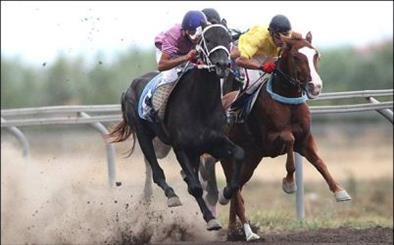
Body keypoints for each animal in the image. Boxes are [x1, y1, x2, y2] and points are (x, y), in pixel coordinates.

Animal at [109, 23, 245, 231]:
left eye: (228, 39)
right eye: (208, 39)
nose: (223, 65)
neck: (201, 104)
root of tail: (130, 87)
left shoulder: (213, 142)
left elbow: (239, 153)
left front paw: (226, 193)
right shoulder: (181, 148)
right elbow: (195, 187)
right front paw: (210, 218)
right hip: (144, 136)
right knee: (156, 171)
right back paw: (171, 195)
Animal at [217, 31, 352, 240]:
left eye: (316, 55)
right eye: (296, 57)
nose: (315, 86)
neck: (288, 101)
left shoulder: (305, 139)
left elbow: (320, 162)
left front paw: (340, 192)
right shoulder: (270, 140)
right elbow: (289, 140)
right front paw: (289, 184)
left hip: (251, 160)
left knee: (236, 187)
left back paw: (233, 229)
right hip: (229, 158)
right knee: (235, 188)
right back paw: (248, 232)